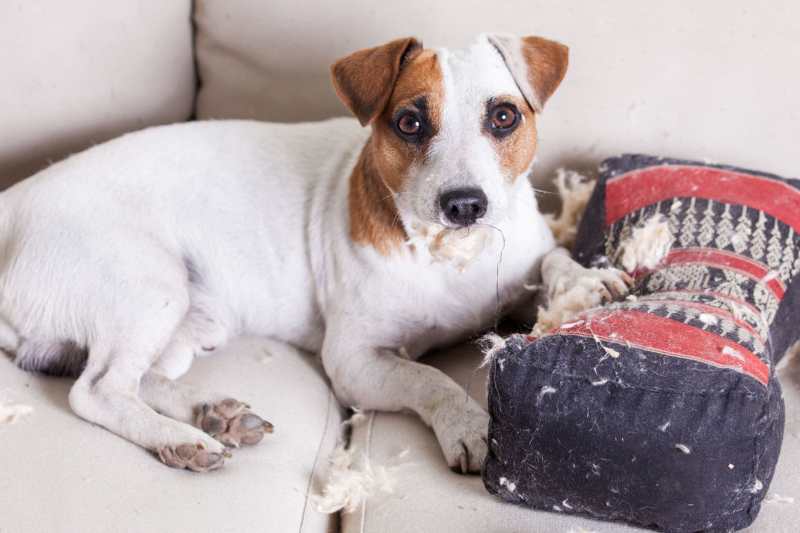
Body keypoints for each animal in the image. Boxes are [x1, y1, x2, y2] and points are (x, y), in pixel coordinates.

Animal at [0, 35, 628, 472]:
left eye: (503, 116)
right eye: (409, 122)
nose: (465, 204)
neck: (453, 255)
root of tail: (13, 203)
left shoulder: (519, 257)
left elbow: (549, 260)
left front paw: (584, 283)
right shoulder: (355, 361)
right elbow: (429, 379)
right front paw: (468, 423)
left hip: (188, 323)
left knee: (141, 380)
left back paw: (213, 413)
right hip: (149, 289)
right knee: (98, 391)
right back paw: (183, 440)